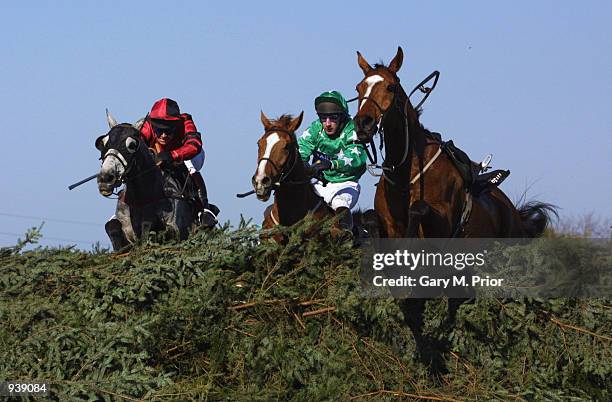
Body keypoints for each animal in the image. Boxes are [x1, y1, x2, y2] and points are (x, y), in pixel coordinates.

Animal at [94, 108, 197, 250]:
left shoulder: (176, 229)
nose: (105, 178)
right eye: (103, 143)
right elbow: (112, 226)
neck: (142, 199)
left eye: (132, 145)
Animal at [352, 48, 556, 240]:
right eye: (358, 88)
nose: (363, 123)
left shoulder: (443, 224)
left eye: (391, 87)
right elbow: (370, 217)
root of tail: (516, 214)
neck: (406, 175)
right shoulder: (389, 224)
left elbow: (418, 208)